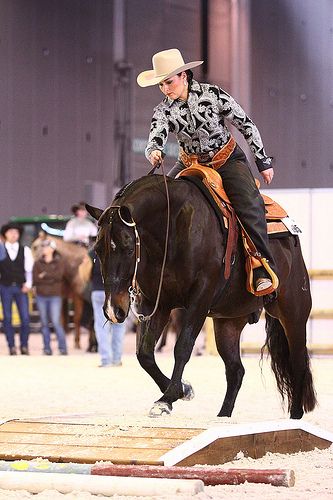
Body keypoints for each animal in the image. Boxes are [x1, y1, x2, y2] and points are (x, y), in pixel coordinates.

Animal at [86, 174, 316, 420]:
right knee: (235, 370)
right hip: (228, 322)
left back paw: (296, 416)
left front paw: (168, 398)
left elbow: (182, 347)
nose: (113, 310)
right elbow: (144, 353)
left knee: (298, 362)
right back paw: (223, 415)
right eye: (97, 249)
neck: (171, 228)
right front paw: (183, 390)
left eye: (129, 248)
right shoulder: (156, 304)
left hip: (293, 313)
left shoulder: (199, 299)